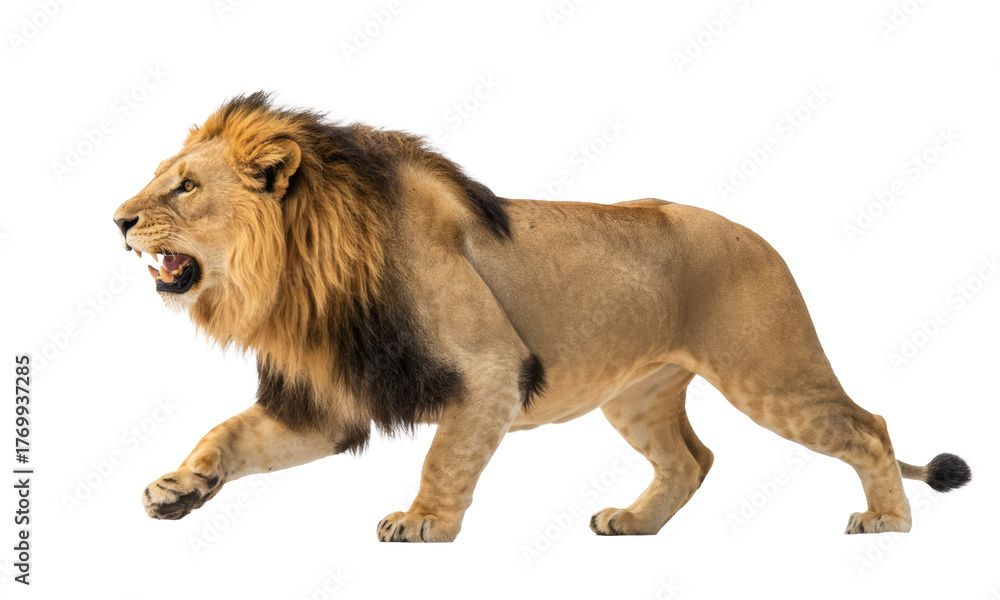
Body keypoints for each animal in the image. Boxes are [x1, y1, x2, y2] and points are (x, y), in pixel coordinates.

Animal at [112, 92, 970, 541]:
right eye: (160, 178)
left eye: (185, 187)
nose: (117, 219)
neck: (298, 279)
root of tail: (759, 237)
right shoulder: (332, 399)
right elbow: (229, 435)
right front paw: (179, 489)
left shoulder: (491, 368)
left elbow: (444, 458)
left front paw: (423, 523)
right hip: (638, 394)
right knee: (691, 460)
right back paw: (634, 523)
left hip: (771, 368)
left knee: (868, 428)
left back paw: (887, 522)